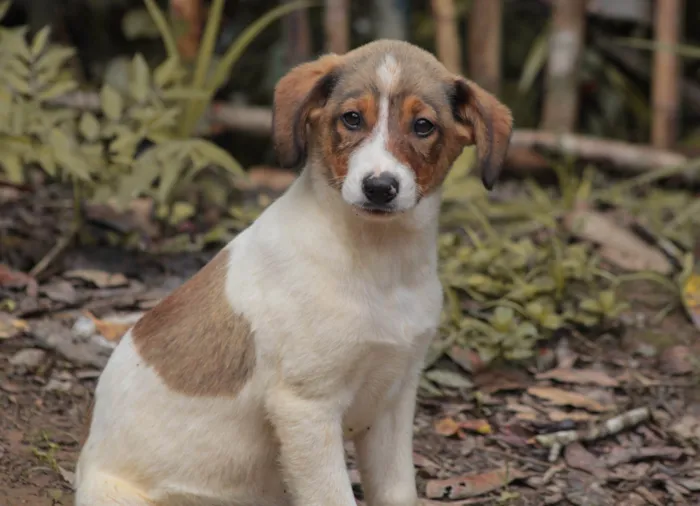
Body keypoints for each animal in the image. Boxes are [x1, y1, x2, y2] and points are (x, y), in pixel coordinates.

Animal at [75, 40, 516, 506]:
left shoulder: (393, 400)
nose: (379, 188)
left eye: (423, 126)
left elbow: (397, 491)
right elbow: (334, 497)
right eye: (352, 118)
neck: (379, 261)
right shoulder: (306, 406)